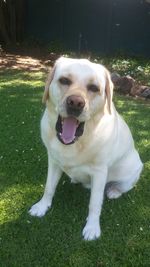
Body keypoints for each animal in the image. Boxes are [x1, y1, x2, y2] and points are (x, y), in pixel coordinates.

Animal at [29, 57, 143, 242]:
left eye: (94, 88)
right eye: (64, 80)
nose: (75, 103)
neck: (76, 141)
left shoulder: (100, 172)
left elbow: (95, 203)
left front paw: (92, 227)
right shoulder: (53, 160)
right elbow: (49, 187)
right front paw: (42, 206)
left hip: (134, 168)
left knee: (123, 186)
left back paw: (114, 191)